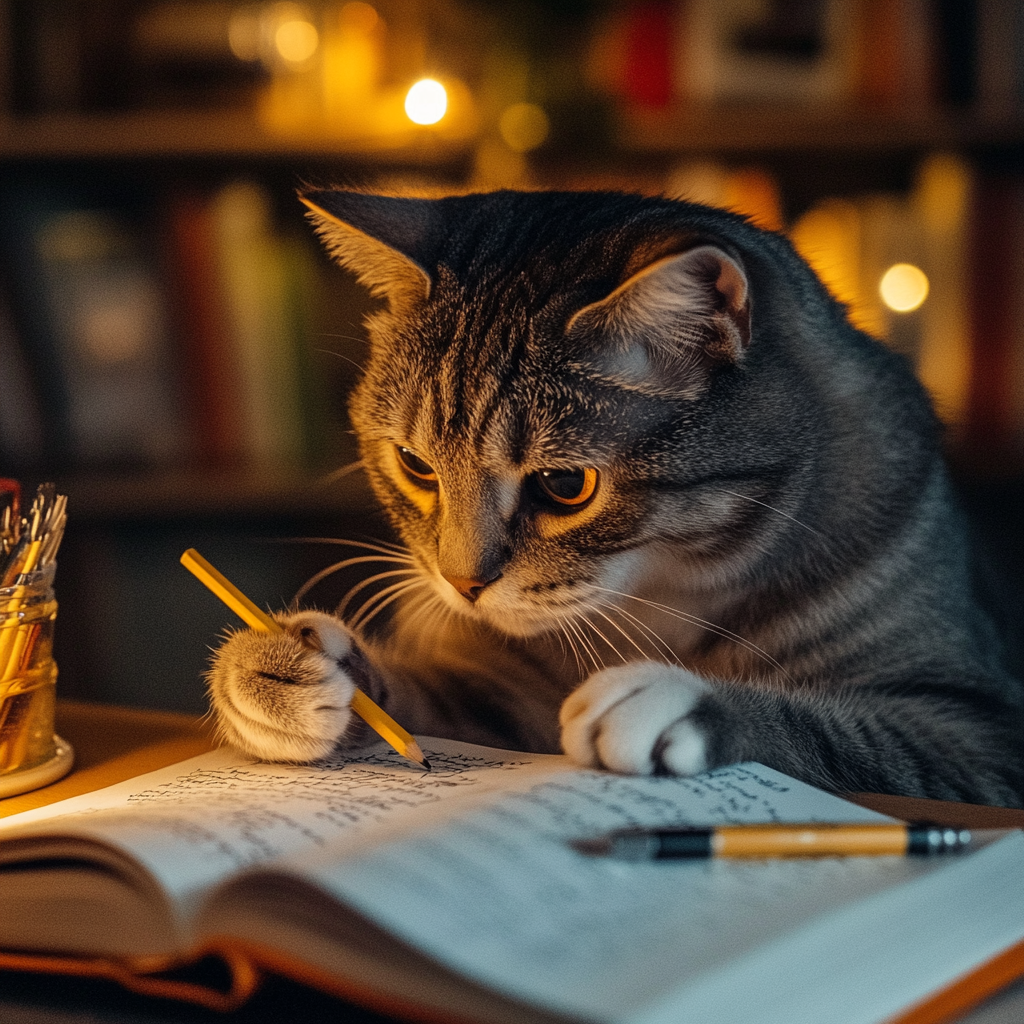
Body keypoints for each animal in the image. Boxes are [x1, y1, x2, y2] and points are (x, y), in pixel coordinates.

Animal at [205, 188, 1024, 802]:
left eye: (565, 485)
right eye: (414, 464)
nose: (462, 584)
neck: (671, 599)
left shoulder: (981, 733)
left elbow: (833, 729)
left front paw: (683, 700)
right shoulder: (499, 697)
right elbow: (420, 703)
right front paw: (280, 667)